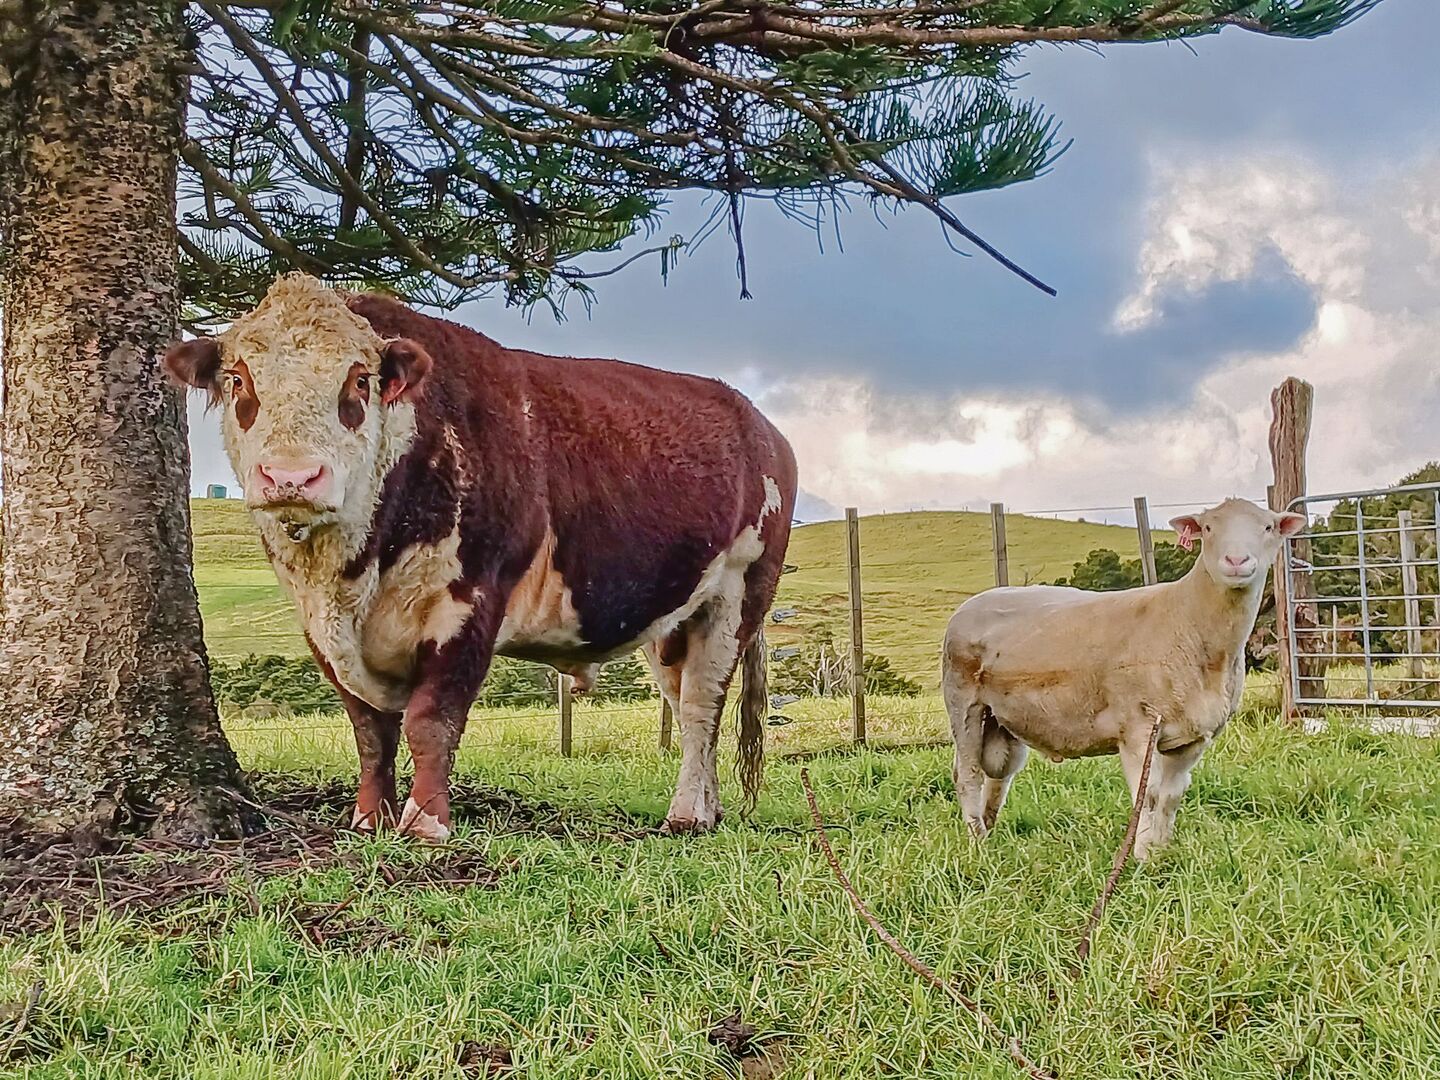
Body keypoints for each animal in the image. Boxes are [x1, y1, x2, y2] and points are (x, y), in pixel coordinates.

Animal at [166, 273, 797, 840]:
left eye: (360, 379)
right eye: (238, 379)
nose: (292, 476)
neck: (354, 569)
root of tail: (762, 425)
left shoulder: (470, 603)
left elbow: (431, 720)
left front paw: (426, 824)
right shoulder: (321, 628)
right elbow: (370, 730)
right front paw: (369, 820)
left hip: (738, 595)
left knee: (701, 707)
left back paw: (687, 815)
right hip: (672, 619)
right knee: (687, 702)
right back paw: (709, 809)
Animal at [940, 497, 1305, 859]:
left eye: (1268, 527)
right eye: (1207, 528)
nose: (1236, 561)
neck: (1188, 618)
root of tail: (971, 605)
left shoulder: (1191, 739)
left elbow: (1170, 797)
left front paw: (1162, 853)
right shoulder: (1137, 727)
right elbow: (1149, 796)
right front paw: (1142, 858)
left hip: (1000, 720)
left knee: (998, 774)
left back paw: (989, 833)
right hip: (964, 703)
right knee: (968, 774)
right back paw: (977, 843)